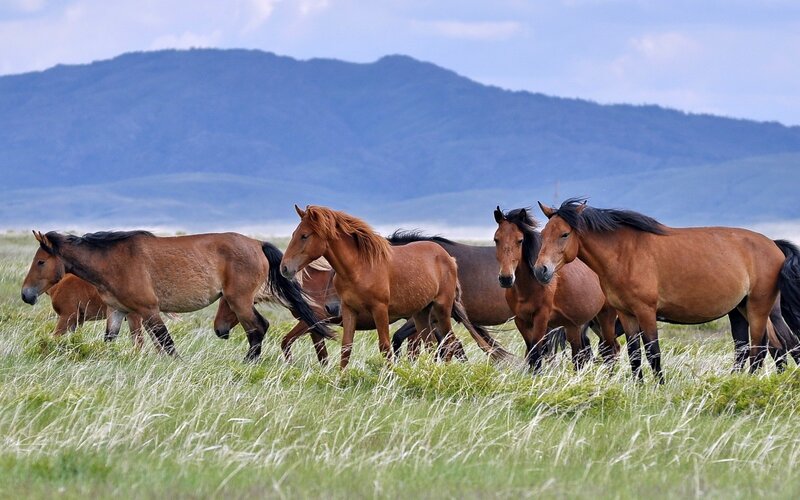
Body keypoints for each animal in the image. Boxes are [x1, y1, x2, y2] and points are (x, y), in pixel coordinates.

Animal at [32, 230, 332, 361]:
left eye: (40, 262)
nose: (27, 294)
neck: (114, 259)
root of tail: (257, 243)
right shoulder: (118, 311)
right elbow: (111, 339)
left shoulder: (148, 309)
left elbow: (166, 342)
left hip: (239, 301)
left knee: (258, 328)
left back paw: (249, 362)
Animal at [280, 205, 515, 369]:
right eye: (293, 234)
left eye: (304, 235)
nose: (285, 267)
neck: (361, 267)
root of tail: (448, 257)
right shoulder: (347, 311)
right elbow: (345, 347)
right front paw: (340, 378)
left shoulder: (380, 310)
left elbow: (386, 346)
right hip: (423, 313)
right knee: (436, 345)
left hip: (441, 310)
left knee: (449, 344)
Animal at [493, 207, 620, 373]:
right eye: (496, 239)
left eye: (520, 240)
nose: (506, 278)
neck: (528, 288)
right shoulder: (520, 320)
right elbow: (531, 352)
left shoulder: (541, 319)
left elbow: (535, 354)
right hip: (577, 325)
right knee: (583, 354)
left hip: (605, 317)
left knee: (609, 350)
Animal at [533, 198, 800, 382]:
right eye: (544, 234)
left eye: (564, 234)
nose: (541, 270)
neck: (625, 254)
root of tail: (773, 245)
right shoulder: (627, 315)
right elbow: (634, 354)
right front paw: (638, 387)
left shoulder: (646, 312)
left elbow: (653, 351)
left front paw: (659, 387)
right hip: (744, 308)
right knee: (768, 346)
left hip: (758, 307)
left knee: (761, 348)